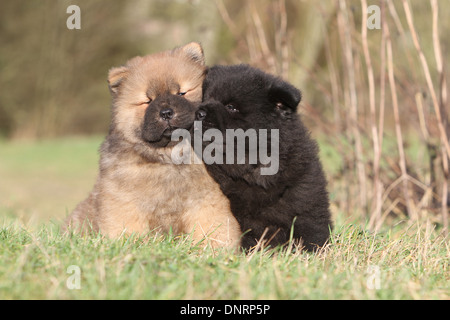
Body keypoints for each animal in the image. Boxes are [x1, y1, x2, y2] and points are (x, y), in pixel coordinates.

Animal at [65, 42, 241, 249]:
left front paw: (213, 250)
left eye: (181, 93)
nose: (166, 112)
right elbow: (126, 226)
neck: (170, 156)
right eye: (147, 101)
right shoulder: (124, 200)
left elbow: (213, 228)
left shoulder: (207, 200)